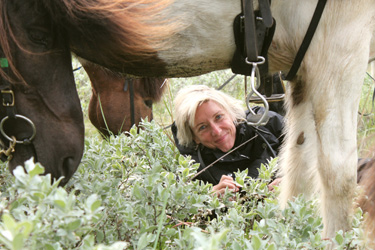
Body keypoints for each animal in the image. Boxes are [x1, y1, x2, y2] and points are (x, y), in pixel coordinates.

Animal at [83, 0, 375, 242]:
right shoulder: (340, 40)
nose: (133, 133)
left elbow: (299, 166)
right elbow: (336, 175)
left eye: (218, 118)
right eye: (203, 126)